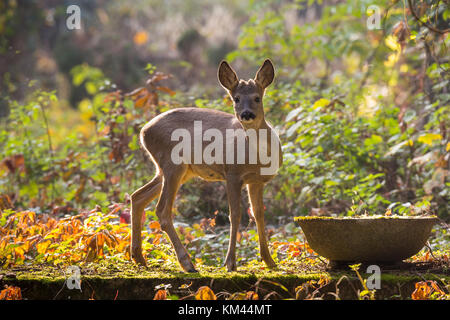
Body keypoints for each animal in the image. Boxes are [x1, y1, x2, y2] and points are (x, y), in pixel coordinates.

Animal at [130, 58, 284, 272]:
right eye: (236, 99)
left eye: (257, 98)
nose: (246, 114)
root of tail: (143, 132)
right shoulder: (232, 174)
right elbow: (235, 215)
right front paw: (230, 263)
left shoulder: (257, 181)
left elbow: (258, 214)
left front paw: (269, 261)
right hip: (172, 164)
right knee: (162, 210)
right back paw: (187, 263)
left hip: (175, 170)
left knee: (137, 196)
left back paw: (139, 258)